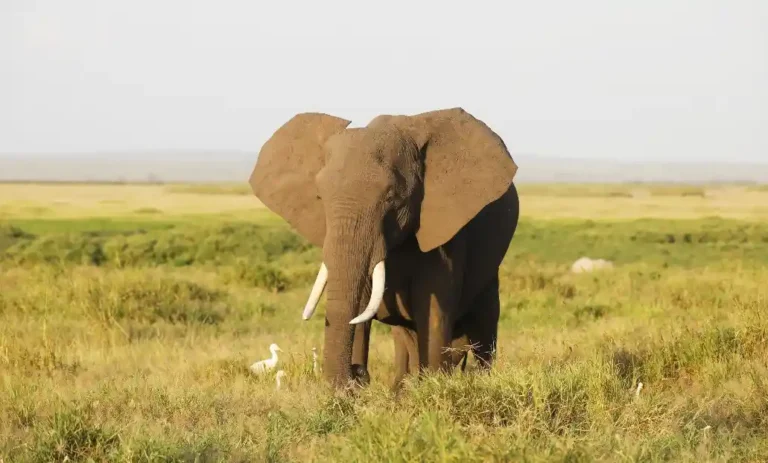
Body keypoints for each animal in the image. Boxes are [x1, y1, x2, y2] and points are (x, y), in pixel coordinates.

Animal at [248, 107, 520, 388]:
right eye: (320, 198)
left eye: (391, 198)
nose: (355, 373)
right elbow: (361, 303)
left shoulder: (446, 228)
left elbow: (433, 311)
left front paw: (434, 386)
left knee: (484, 324)